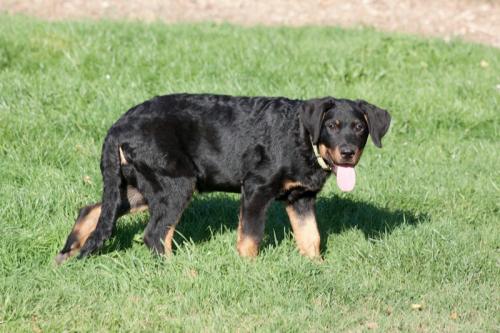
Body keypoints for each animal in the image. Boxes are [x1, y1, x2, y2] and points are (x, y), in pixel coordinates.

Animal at [54, 92, 390, 262]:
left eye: (359, 128)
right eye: (332, 125)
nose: (347, 152)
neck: (303, 138)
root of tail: (118, 126)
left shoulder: (301, 198)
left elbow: (311, 237)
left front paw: (315, 267)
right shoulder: (256, 189)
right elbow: (250, 236)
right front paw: (249, 268)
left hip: (140, 183)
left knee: (92, 209)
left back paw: (67, 253)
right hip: (176, 183)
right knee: (156, 234)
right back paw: (179, 270)